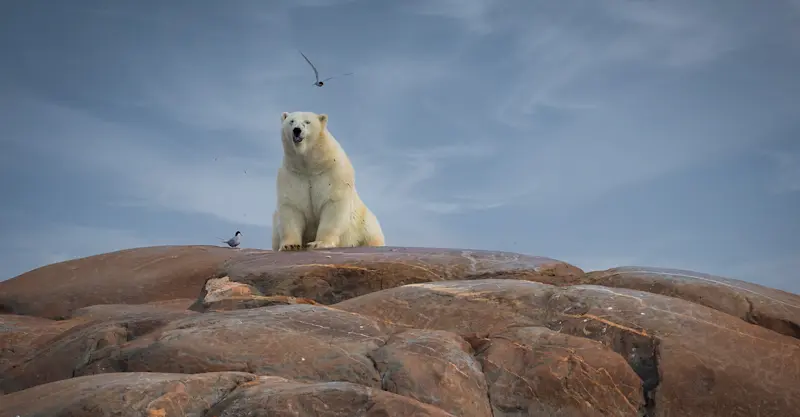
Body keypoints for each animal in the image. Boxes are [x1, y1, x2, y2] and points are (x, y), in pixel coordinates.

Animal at [271, 111, 386, 251]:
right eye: (291, 121)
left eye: (307, 122)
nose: (296, 130)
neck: (310, 165)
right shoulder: (293, 175)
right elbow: (292, 206)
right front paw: (290, 245)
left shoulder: (332, 172)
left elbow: (332, 204)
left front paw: (318, 243)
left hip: (363, 222)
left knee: (371, 234)